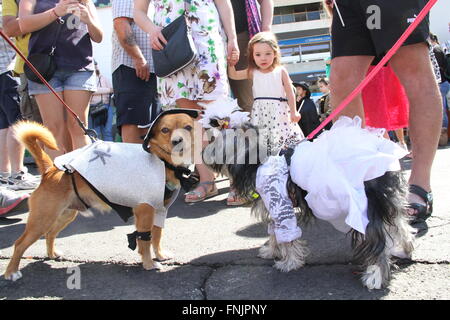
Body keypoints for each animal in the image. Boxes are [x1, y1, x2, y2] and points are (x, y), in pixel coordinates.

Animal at [3, 111, 197, 282]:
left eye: (188, 127)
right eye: (165, 130)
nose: (177, 140)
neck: (163, 162)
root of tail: (50, 170)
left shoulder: (160, 211)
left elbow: (156, 237)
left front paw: (160, 255)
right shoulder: (145, 212)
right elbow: (144, 241)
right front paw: (149, 264)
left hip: (65, 215)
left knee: (50, 234)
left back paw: (52, 254)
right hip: (42, 220)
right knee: (19, 244)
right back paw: (11, 272)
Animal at [203, 115, 414, 290]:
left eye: (215, 141)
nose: (203, 151)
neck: (260, 161)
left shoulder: (281, 206)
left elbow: (288, 237)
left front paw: (289, 263)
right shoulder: (274, 209)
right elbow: (274, 233)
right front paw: (271, 251)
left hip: (366, 209)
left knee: (378, 242)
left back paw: (375, 277)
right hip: (388, 203)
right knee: (401, 225)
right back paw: (405, 248)